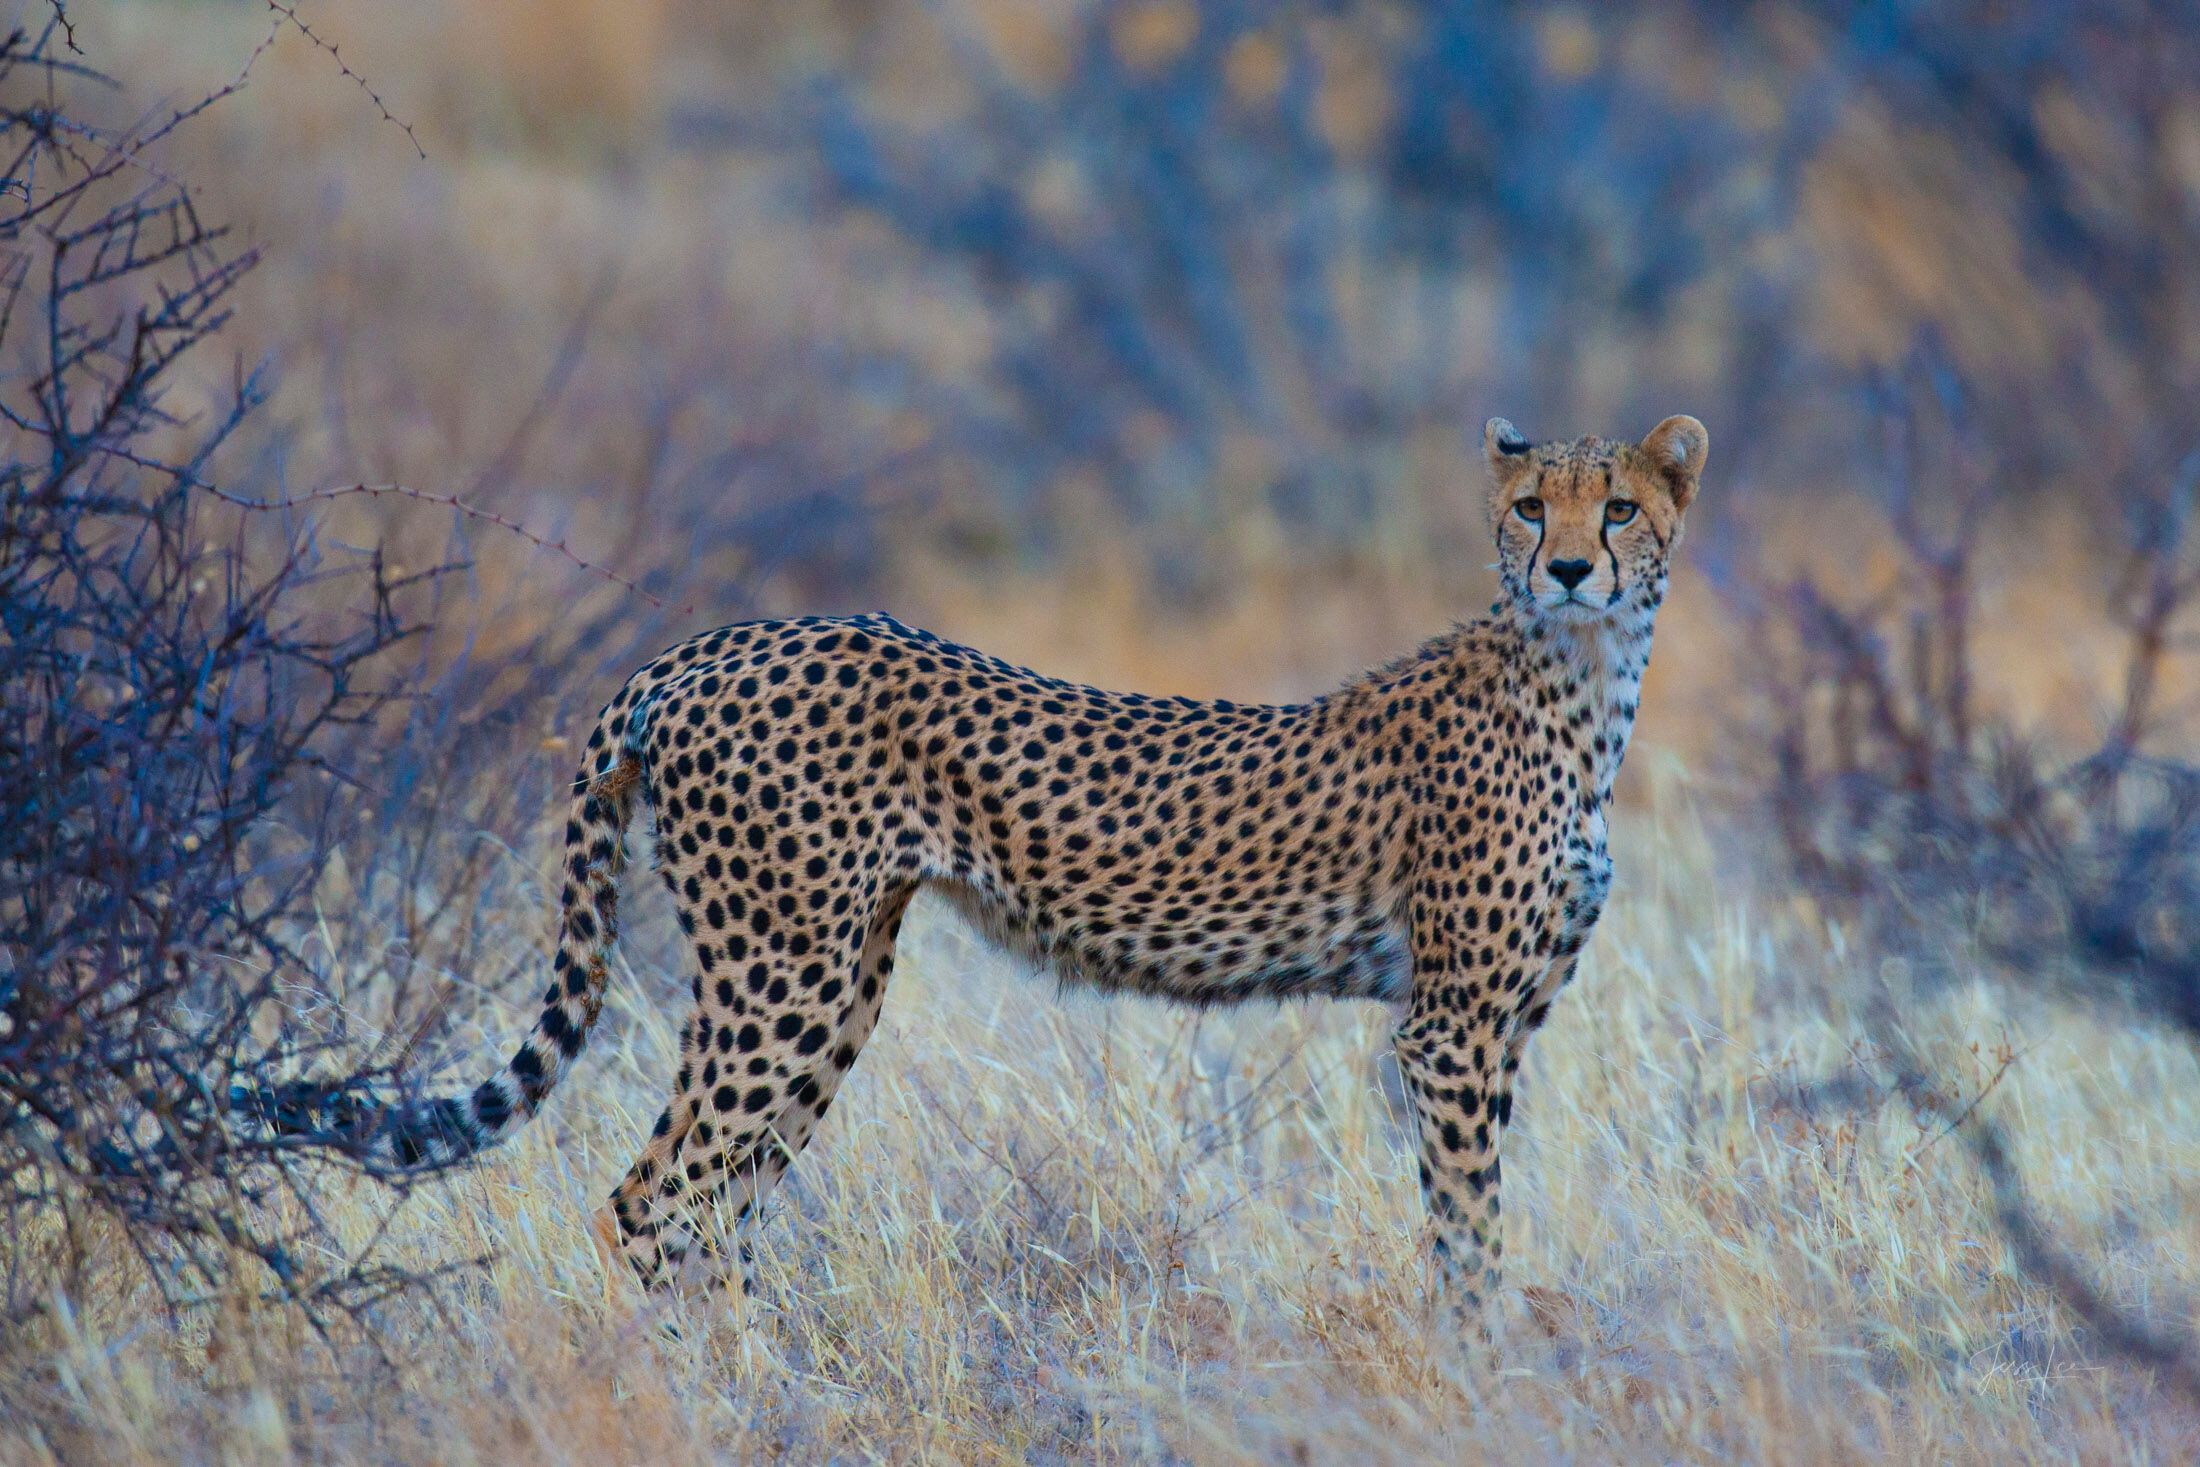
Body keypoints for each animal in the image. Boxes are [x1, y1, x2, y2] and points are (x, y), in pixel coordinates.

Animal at [363, 413, 1708, 1318]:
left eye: (1619, 508)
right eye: (1531, 505)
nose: (1569, 567)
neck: (1579, 680)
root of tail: (707, 645)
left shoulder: (1502, 1024)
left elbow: (1466, 1222)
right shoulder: (1451, 1031)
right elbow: (1471, 1235)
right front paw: (1479, 1375)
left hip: (836, 981)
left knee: (715, 1201)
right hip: (782, 975)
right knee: (656, 1198)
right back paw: (730, 1396)